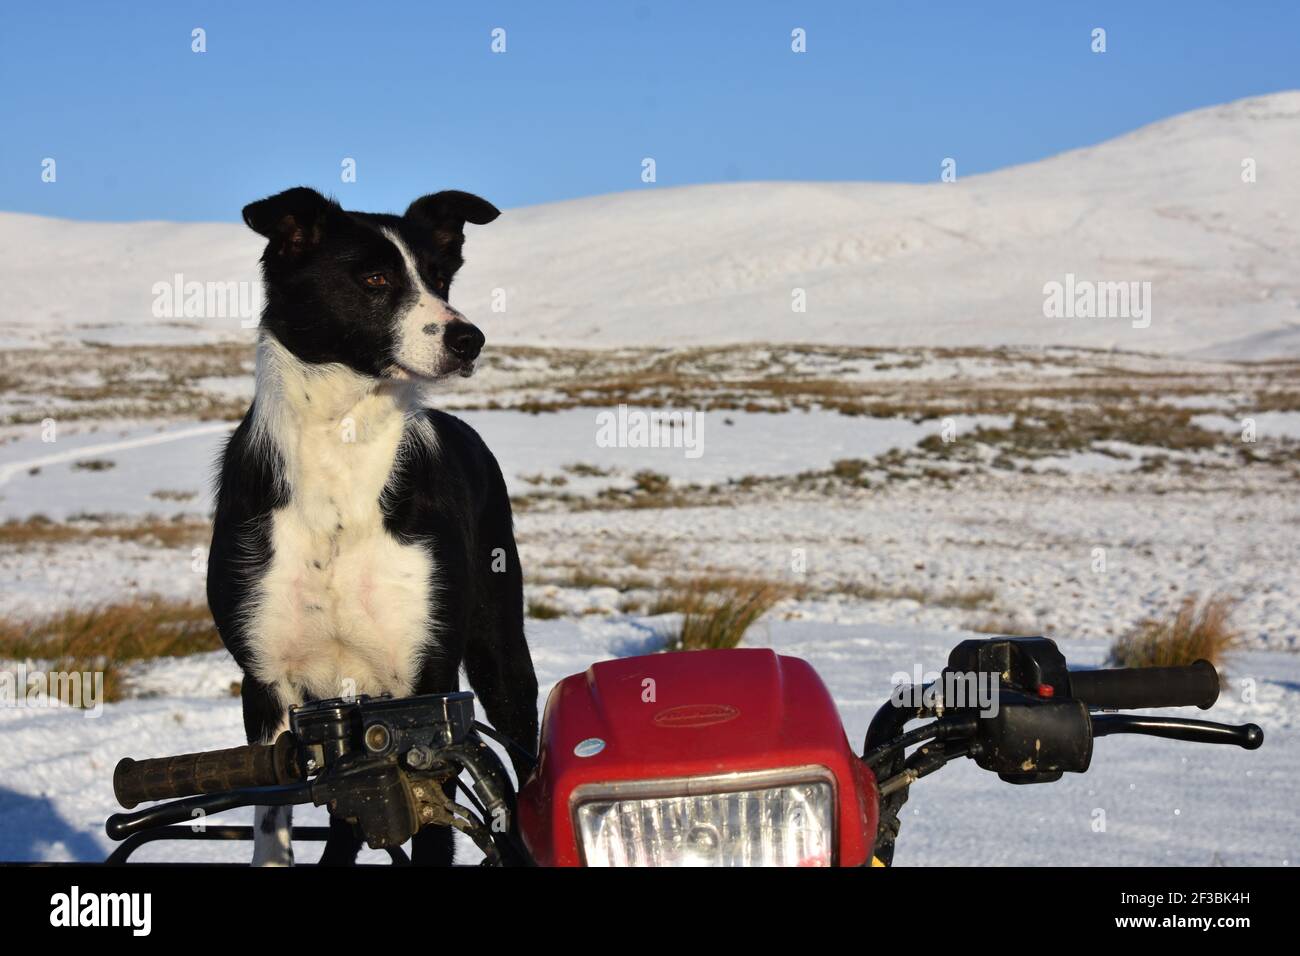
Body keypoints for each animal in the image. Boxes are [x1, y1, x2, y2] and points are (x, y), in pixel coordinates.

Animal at [208, 187, 538, 868]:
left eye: (439, 277)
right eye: (375, 279)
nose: (469, 338)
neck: (342, 446)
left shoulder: (428, 688)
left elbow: (438, 832)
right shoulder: (267, 684)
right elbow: (273, 823)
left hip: (500, 650)